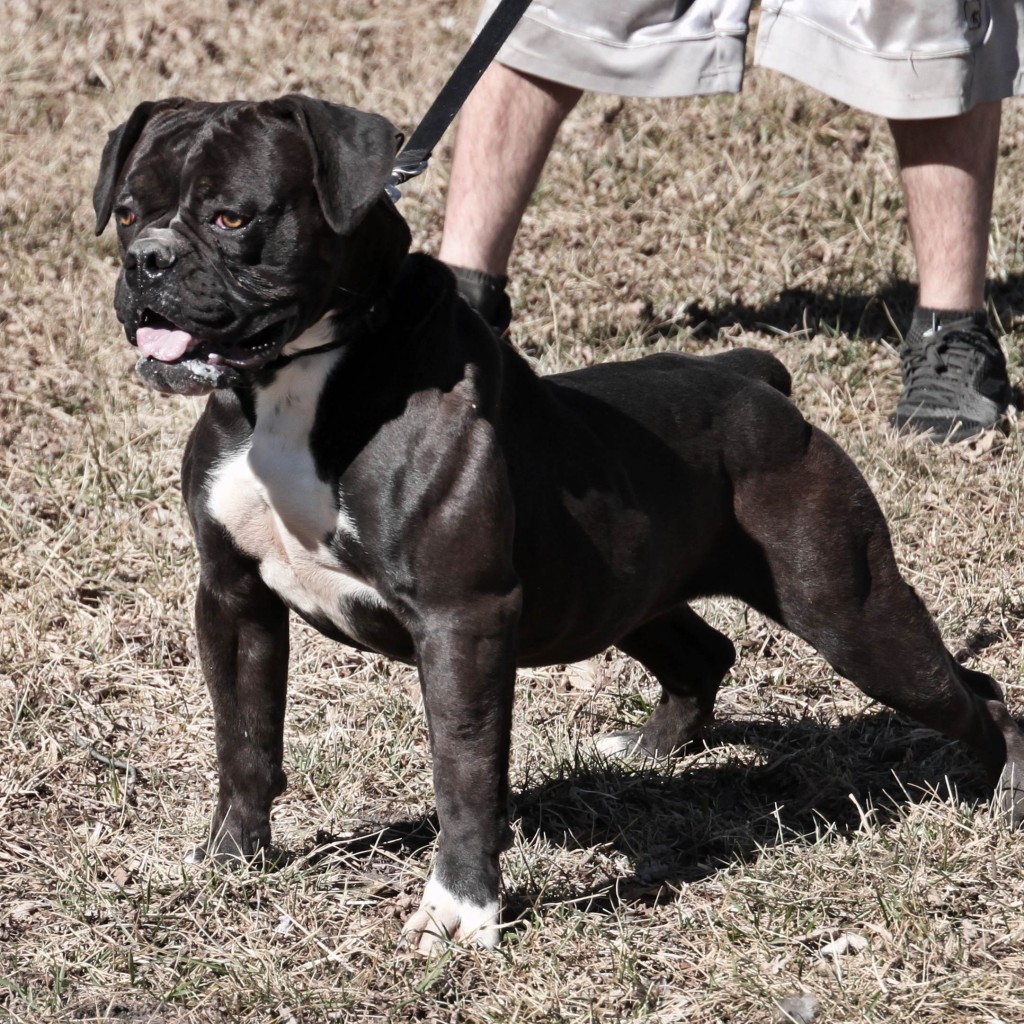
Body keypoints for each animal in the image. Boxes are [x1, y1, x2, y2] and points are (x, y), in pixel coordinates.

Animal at [96, 96, 1024, 950]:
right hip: (624, 593)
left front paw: (460, 912)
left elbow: (463, 770)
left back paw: (1005, 794)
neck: (298, 380)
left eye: (232, 217)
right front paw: (232, 859)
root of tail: (754, 378)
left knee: (972, 692)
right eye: (130, 211)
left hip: (848, 611)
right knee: (705, 650)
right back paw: (651, 749)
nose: (147, 261)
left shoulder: (460, 619)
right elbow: (244, 738)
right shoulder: (233, 597)